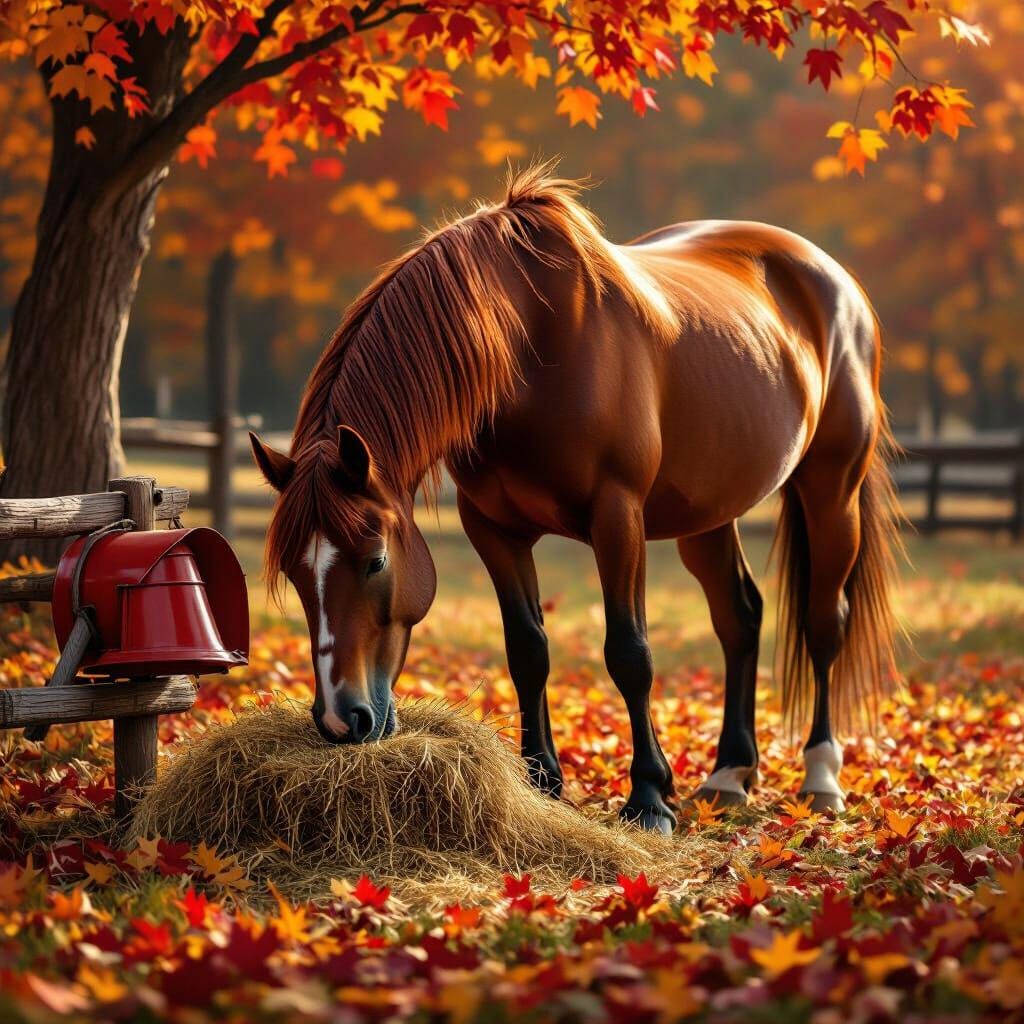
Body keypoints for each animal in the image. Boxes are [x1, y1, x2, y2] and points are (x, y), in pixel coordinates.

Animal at [250, 165, 900, 834]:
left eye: (376, 561)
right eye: (295, 574)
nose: (339, 719)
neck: (531, 345)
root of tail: (833, 279)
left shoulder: (618, 519)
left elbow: (629, 653)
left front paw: (649, 799)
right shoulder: (493, 529)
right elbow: (527, 649)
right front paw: (543, 782)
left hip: (831, 492)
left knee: (825, 623)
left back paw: (821, 777)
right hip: (707, 514)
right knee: (738, 618)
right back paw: (728, 777)